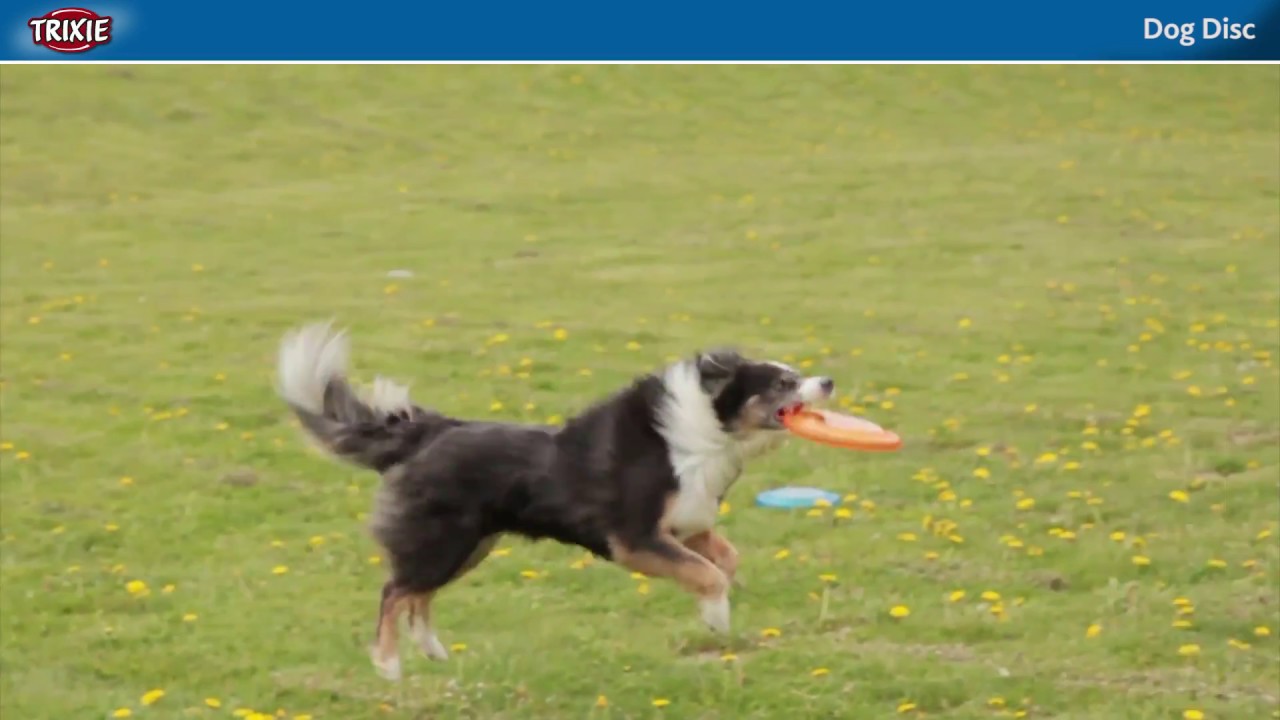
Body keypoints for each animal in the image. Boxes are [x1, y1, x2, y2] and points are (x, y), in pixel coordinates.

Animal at [275, 322, 834, 676]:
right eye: (783, 381)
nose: (827, 380)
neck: (707, 431)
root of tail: (428, 431)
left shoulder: (687, 523)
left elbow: (725, 557)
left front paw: (723, 601)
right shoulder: (633, 539)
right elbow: (706, 572)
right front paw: (717, 615)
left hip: (469, 545)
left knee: (417, 597)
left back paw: (433, 653)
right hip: (444, 542)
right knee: (395, 592)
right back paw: (389, 666)